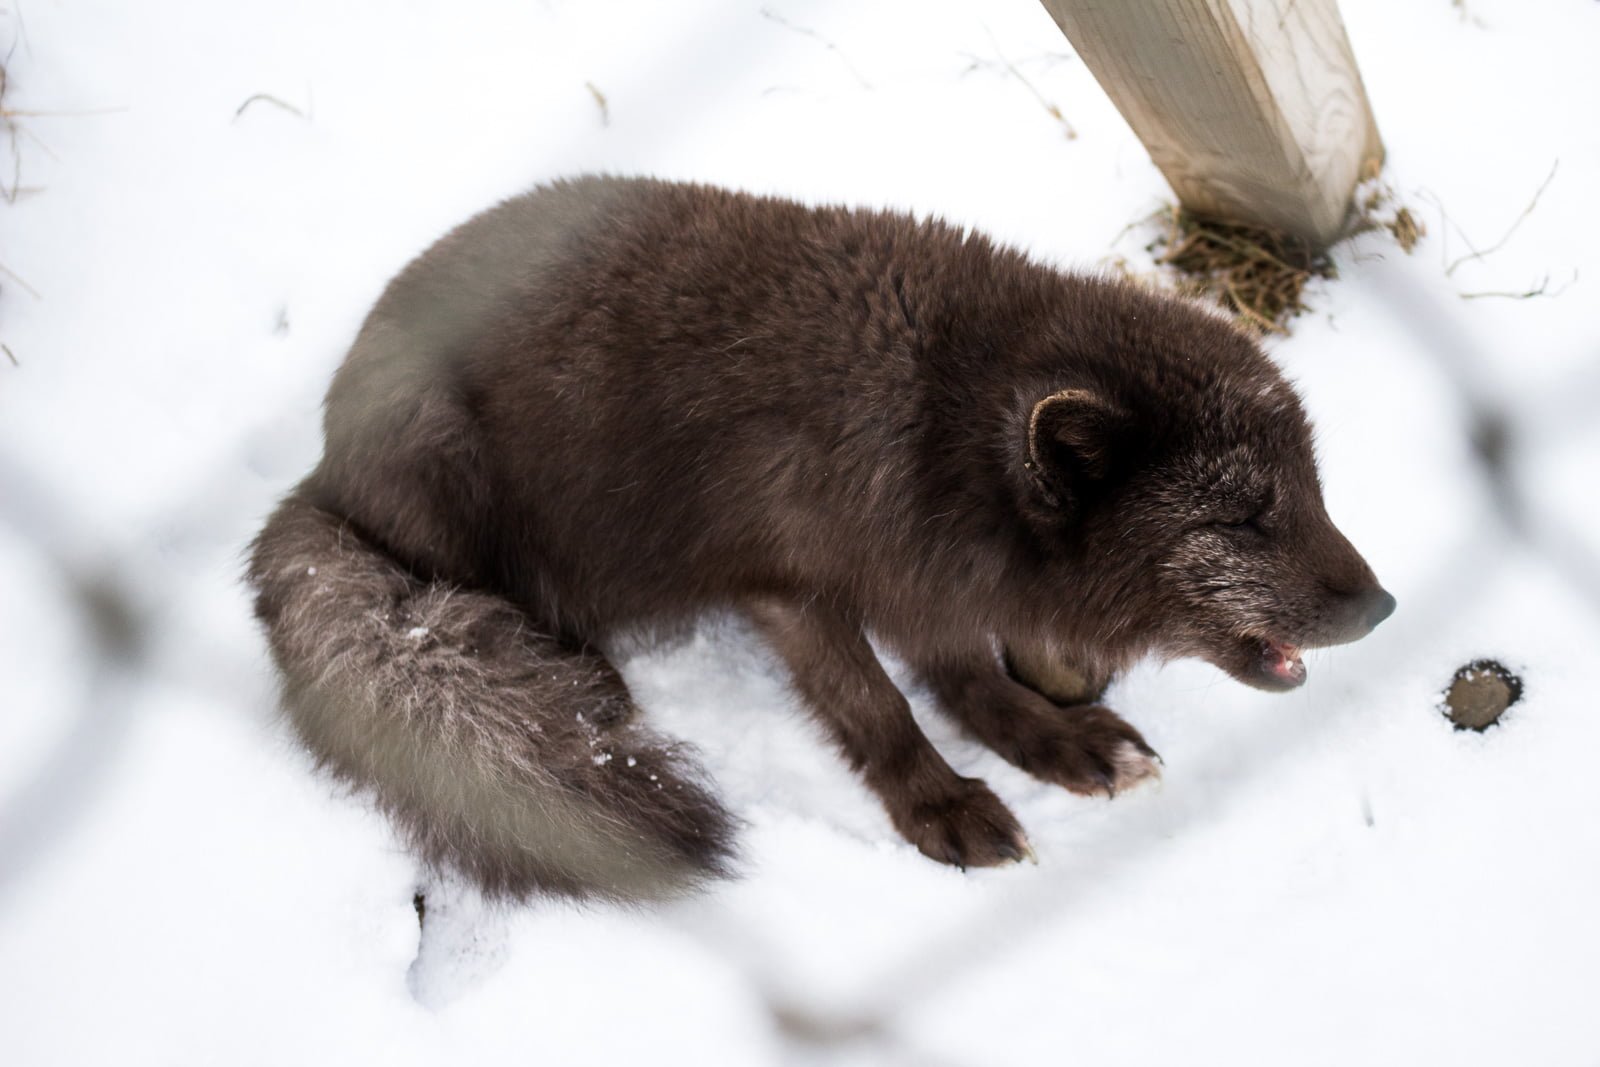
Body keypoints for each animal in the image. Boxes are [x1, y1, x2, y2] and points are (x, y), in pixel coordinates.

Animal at [247, 175, 1394, 902]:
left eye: (1312, 490)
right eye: (1242, 516)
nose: (1383, 607)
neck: (932, 420)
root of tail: (323, 467)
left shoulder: (925, 571)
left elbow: (960, 672)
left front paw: (1051, 736)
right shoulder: (788, 587)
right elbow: (881, 706)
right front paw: (940, 803)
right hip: (445, 465)